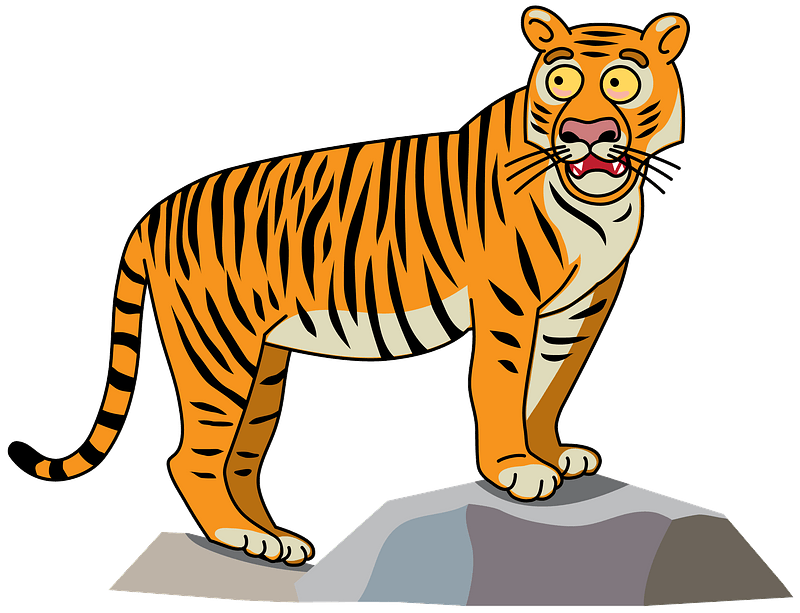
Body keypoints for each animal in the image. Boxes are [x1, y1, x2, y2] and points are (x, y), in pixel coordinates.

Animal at [8, 7, 688, 566]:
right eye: (562, 81)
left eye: (622, 83)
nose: (587, 133)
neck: (600, 207)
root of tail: (153, 214)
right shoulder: (509, 303)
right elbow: (501, 385)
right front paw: (516, 469)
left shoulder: (580, 308)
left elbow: (550, 385)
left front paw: (553, 454)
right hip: (217, 353)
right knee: (193, 458)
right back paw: (241, 537)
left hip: (262, 367)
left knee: (240, 458)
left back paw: (275, 540)